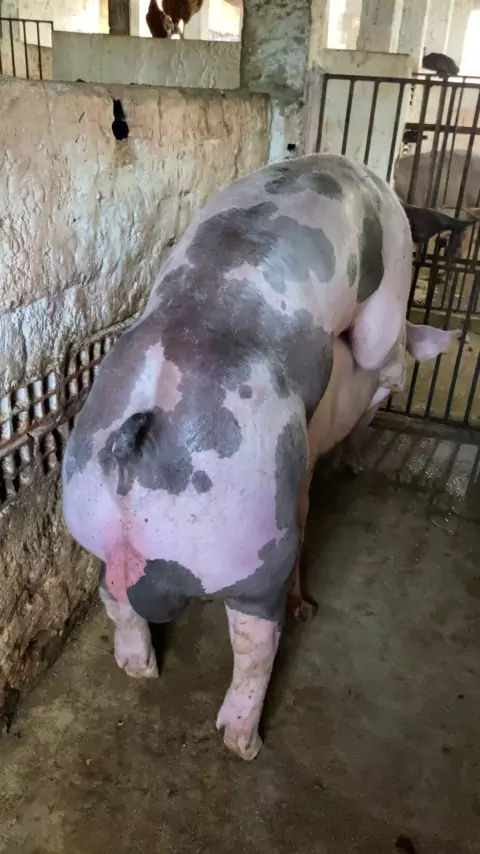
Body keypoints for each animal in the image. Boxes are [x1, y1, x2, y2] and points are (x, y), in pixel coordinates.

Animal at [62, 153, 459, 761]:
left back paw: (139, 670)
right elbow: (377, 342)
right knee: (255, 643)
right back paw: (244, 741)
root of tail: (139, 444)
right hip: (252, 547)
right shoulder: (390, 277)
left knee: (115, 596)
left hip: (89, 512)